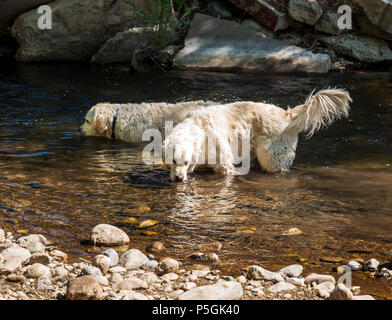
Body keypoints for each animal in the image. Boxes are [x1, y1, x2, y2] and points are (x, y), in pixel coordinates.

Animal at [164, 89, 350, 181]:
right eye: (173, 160)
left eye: (185, 162)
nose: (179, 178)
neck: (199, 130)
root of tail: (287, 115)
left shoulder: (224, 165)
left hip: (271, 156)